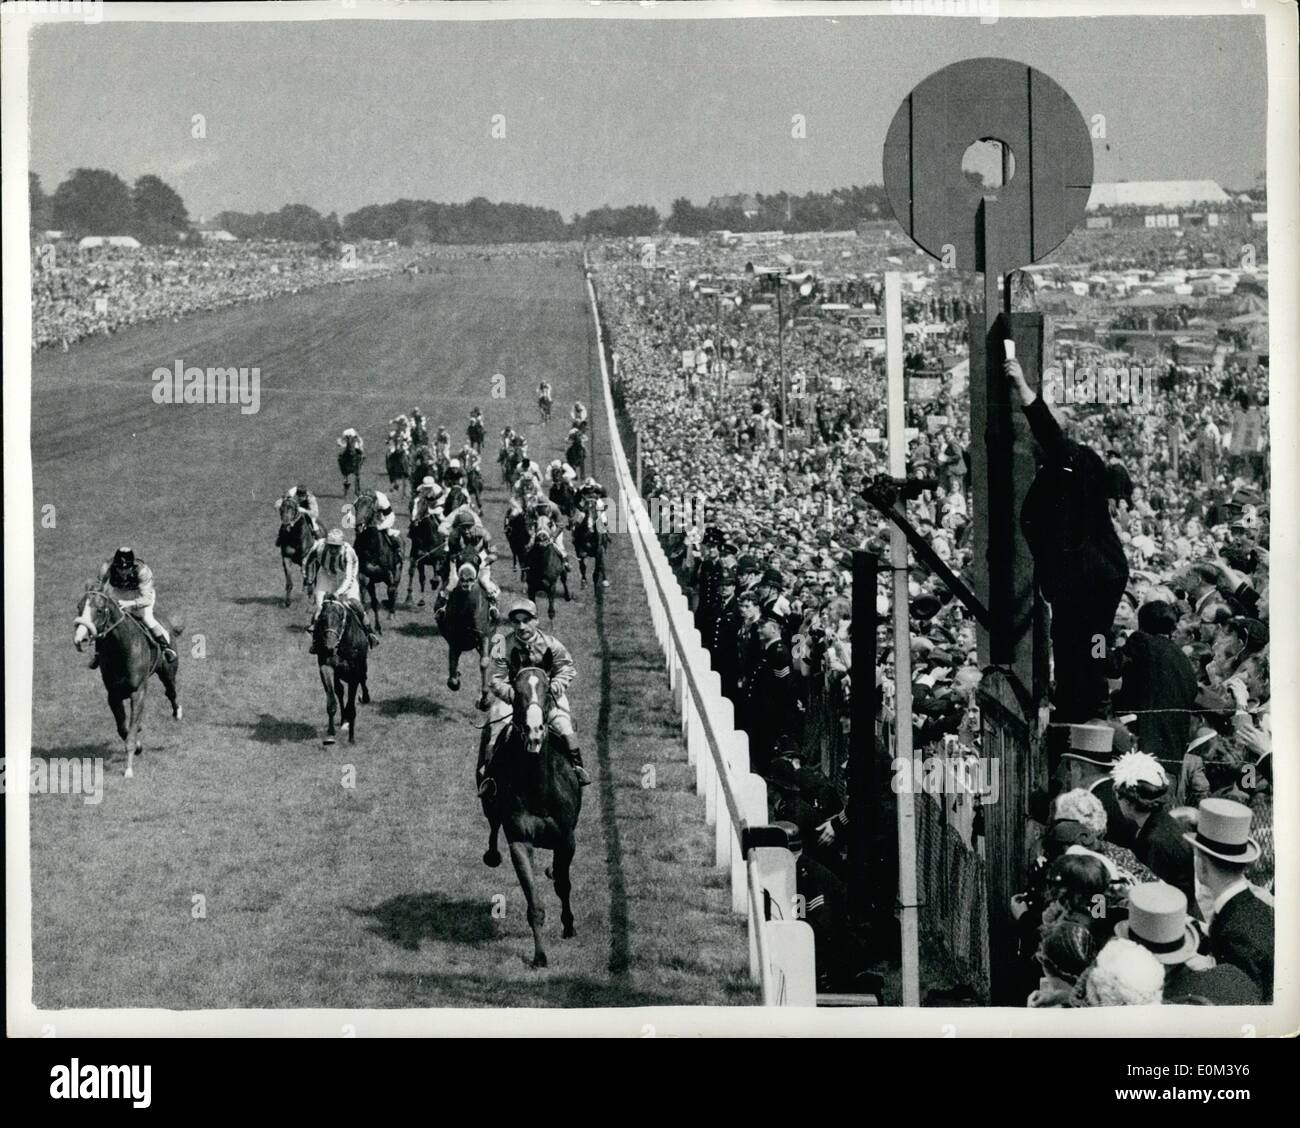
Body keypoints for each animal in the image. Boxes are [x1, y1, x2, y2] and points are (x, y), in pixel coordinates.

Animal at [74, 589, 182, 774]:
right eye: (79, 608)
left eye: (99, 610)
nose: (80, 640)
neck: (121, 649)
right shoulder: (113, 694)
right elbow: (122, 729)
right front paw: (138, 745)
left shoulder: (137, 693)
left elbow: (130, 733)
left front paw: (129, 769)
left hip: (168, 673)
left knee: (171, 692)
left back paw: (177, 712)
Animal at [313, 595, 371, 743]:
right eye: (322, 618)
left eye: (340, 617)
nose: (329, 645)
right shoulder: (326, 667)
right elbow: (332, 700)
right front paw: (330, 734)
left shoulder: (354, 672)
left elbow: (351, 703)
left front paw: (351, 737)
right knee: (339, 690)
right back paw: (344, 720)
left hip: (362, 665)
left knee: (364, 679)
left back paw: (365, 698)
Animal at [351, 493, 400, 634]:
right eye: (356, 506)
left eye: (369, 507)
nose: (359, 525)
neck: (372, 546)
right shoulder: (365, 576)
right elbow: (369, 601)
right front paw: (372, 626)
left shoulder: (389, 575)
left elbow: (391, 591)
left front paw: (390, 610)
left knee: (394, 591)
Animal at [436, 561, 496, 706]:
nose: (466, 580)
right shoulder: (454, 640)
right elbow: (452, 666)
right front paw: (455, 680)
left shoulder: (484, 635)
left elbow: (484, 662)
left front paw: (484, 700)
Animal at [480, 665, 582, 966]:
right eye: (518, 690)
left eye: (547, 690)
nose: (534, 731)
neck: (539, 790)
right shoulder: (520, 840)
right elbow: (534, 902)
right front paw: (539, 956)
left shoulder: (566, 840)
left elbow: (563, 883)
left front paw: (568, 925)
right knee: (492, 823)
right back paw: (492, 854)